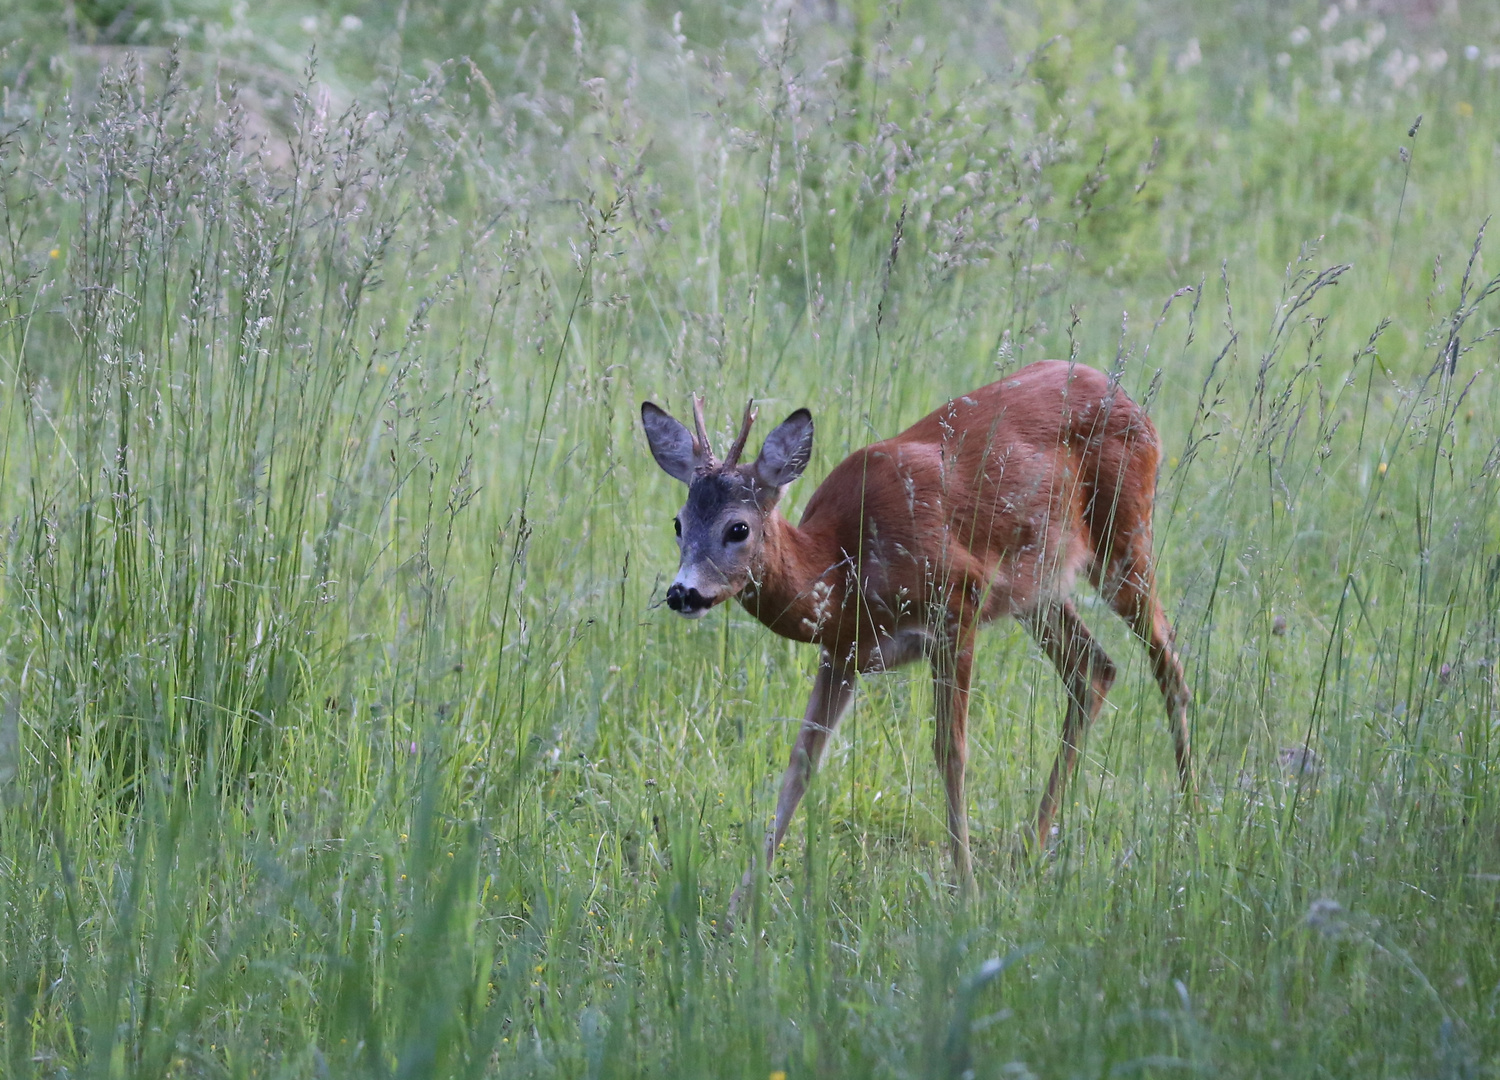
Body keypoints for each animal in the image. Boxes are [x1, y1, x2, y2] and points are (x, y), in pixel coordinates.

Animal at [639, 360, 1188, 900]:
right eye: (679, 523)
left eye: (738, 528)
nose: (683, 592)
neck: (839, 566)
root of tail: (1133, 404)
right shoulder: (842, 653)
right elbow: (801, 763)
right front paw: (740, 903)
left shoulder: (958, 604)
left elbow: (951, 752)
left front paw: (966, 889)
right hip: (1038, 588)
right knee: (1095, 668)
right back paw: (1029, 850)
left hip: (1124, 534)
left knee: (1167, 660)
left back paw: (1191, 812)